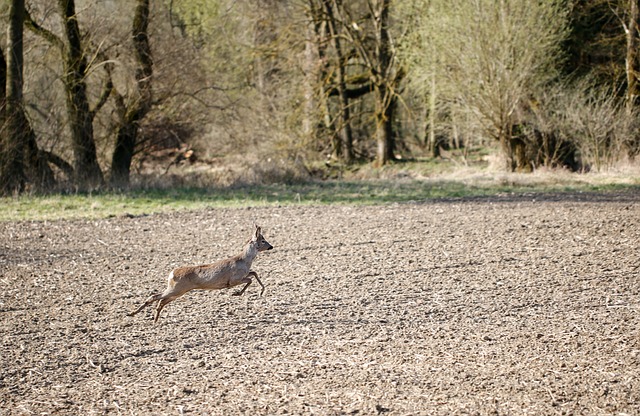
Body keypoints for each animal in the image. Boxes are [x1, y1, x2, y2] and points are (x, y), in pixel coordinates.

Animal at [127, 226, 272, 324]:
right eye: (263, 240)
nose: (271, 246)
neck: (244, 260)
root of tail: (171, 273)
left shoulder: (243, 275)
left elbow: (254, 273)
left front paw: (261, 291)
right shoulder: (233, 279)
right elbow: (250, 279)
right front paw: (238, 293)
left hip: (178, 291)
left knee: (161, 300)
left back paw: (154, 319)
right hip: (177, 288)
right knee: (155, 296)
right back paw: (132, 314)